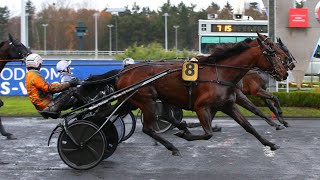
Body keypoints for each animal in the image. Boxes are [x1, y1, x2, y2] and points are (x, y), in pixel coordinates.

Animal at [116, 33, 288, 155]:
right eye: (271, 52)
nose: (285, 71)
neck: (221, 74)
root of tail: (124, 72)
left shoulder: (229, 105)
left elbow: (249, 126)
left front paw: (271, 143)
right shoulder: (201, 107)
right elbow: (208, 133)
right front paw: (185, 134)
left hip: (144, 100)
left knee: (157, 116)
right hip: (147, 100)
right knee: (148, 128)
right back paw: (173, 146)